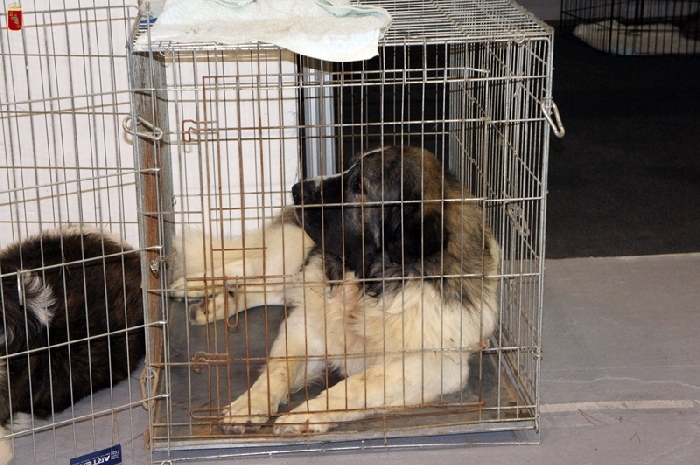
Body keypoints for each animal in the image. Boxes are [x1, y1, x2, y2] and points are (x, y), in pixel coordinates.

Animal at [171, 145, 500, 434]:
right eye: (348, 166)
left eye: (359, 185)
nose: (296, 189)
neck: (367, 284)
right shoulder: (306, 327)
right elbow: (278, 369)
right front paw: (250, 405)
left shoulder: (431, 365)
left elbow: (357, 385)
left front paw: (305, 414)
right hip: (292, 254)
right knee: (249, 267)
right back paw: (193, 285)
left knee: (268, 287)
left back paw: (218, 303)